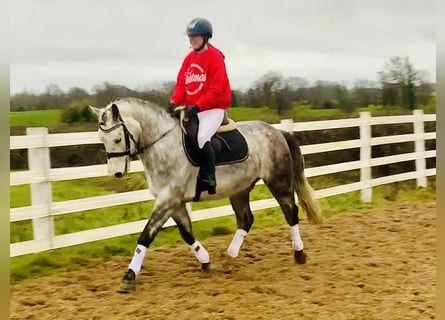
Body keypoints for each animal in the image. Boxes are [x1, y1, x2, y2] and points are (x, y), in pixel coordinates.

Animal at [89, 96, 320, 292]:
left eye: (117, 138)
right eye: (102, 139)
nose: (116, 173)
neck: (163, 145)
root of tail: (278, 132)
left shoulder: (167, 201)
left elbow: (146, 235)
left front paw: (129, 276)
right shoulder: (174, 202)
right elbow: (187, 233)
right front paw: (206, 261)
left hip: (279, 182)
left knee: (290, 212)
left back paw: (299, 253)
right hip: (240, 189)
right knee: (246, 219)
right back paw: (229, 257)